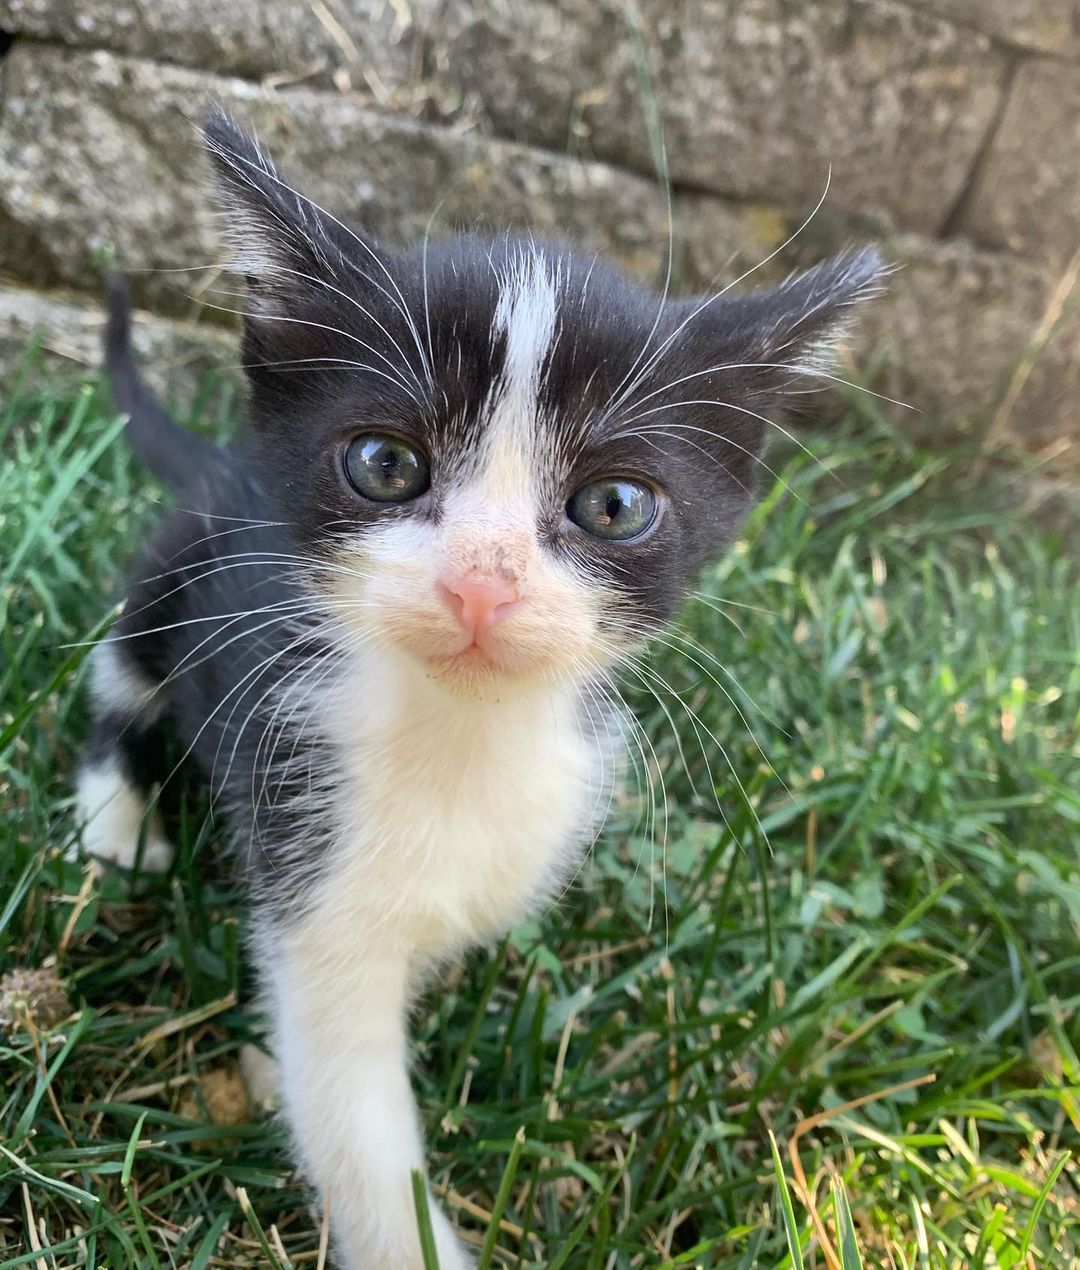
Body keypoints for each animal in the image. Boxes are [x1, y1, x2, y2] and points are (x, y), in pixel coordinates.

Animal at [75, 111, 884, 1270]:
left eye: (614, 504)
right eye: (384, 463)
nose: (481, 581)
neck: (462, 736)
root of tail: (224, 469)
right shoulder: (311, 863)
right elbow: (352, 1112)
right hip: (171, 573)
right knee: (121, 681)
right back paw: (114, 826)